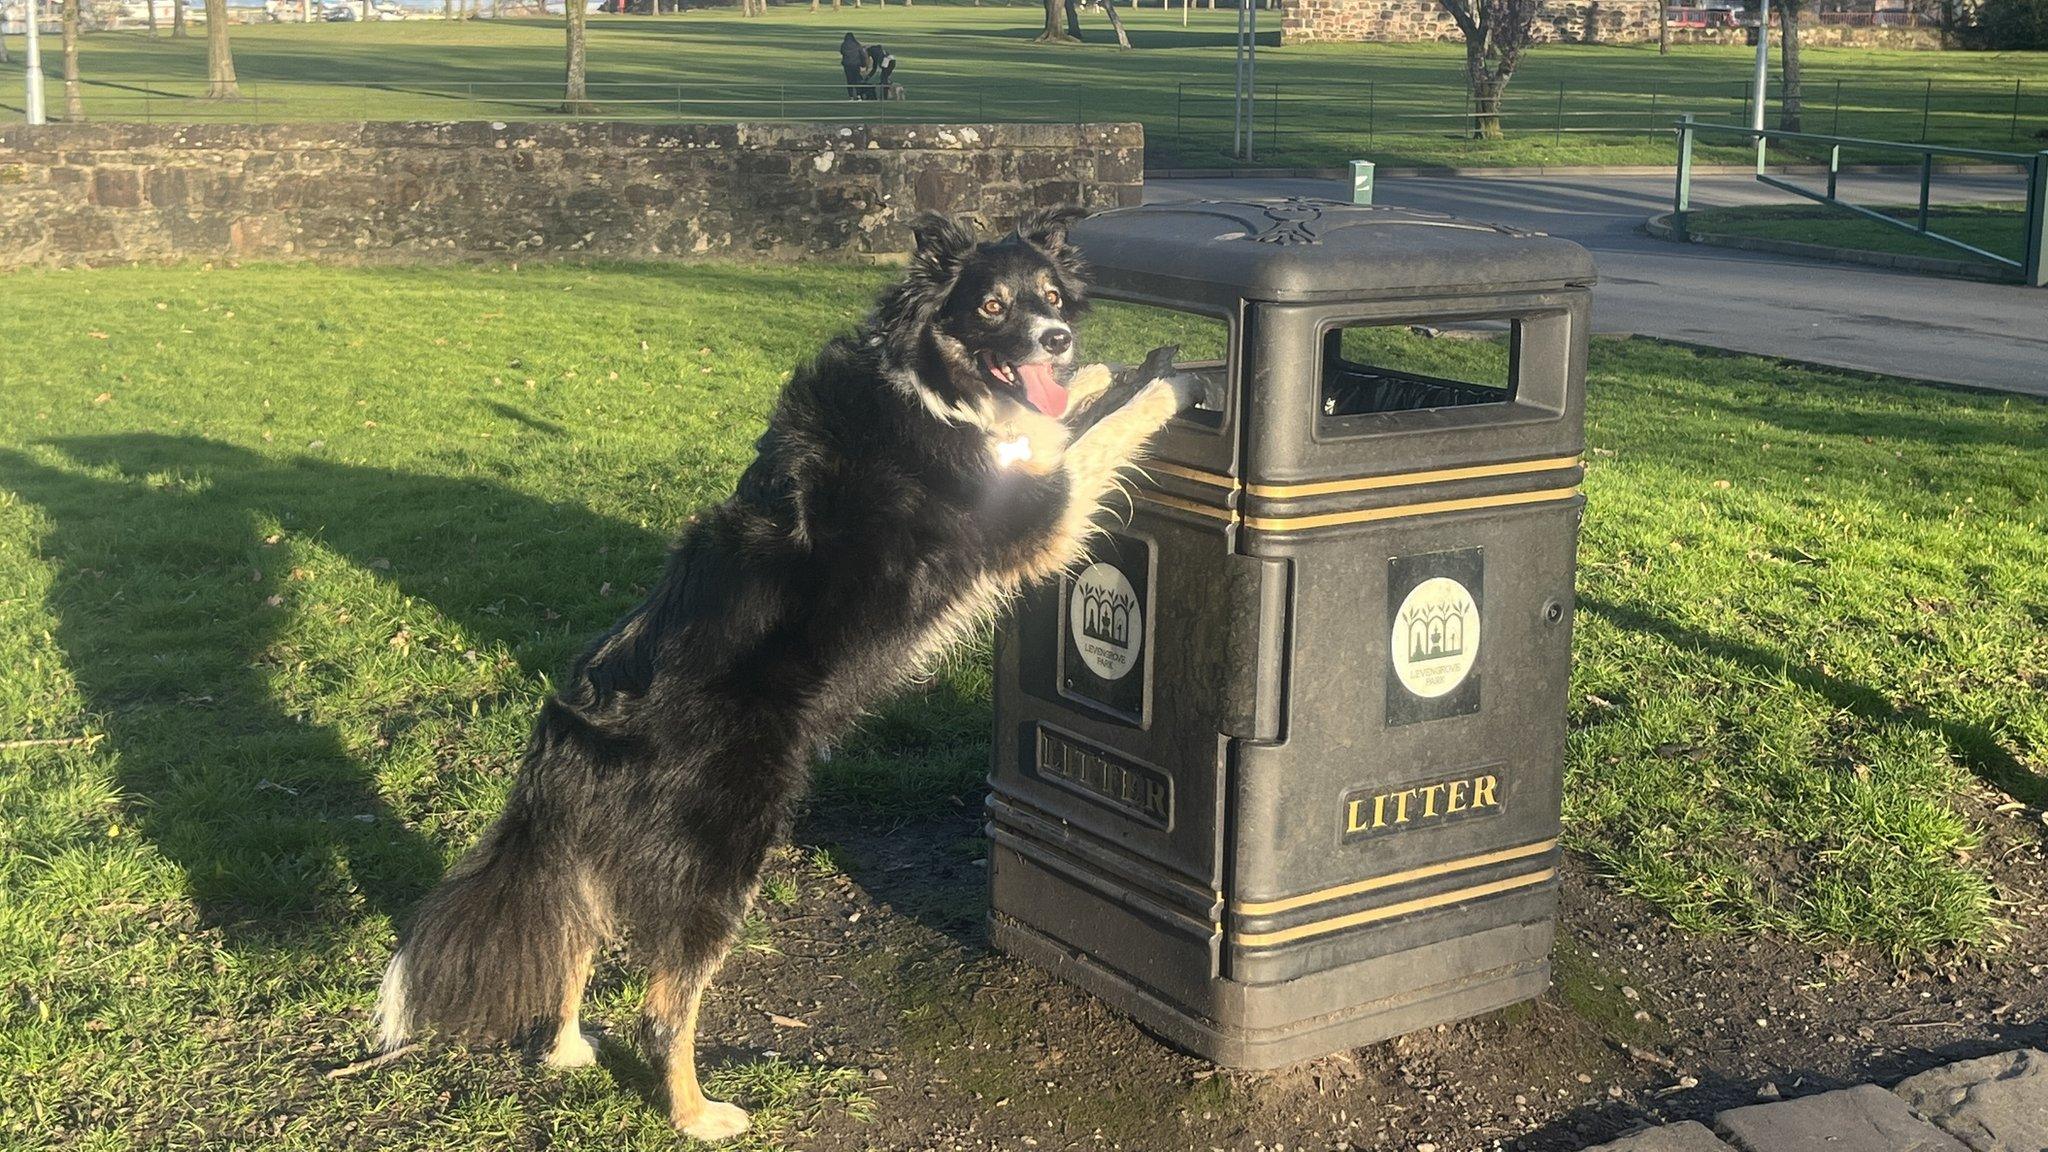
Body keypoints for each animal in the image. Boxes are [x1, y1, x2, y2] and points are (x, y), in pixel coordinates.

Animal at [370, 208, 1196, 1139]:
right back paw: (697, 1114)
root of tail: (568, 729)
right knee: (663, 1008)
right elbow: (1092, 442)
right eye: (990, 306)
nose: (1056, 337)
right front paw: (1166, 385)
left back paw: (568, 1048)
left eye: (1052, 296)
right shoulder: (1032, 515)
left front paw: (1100, 371)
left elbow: (1069, 420)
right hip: (726, 852)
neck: (931, 383)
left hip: (606, 856)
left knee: (573, 937)